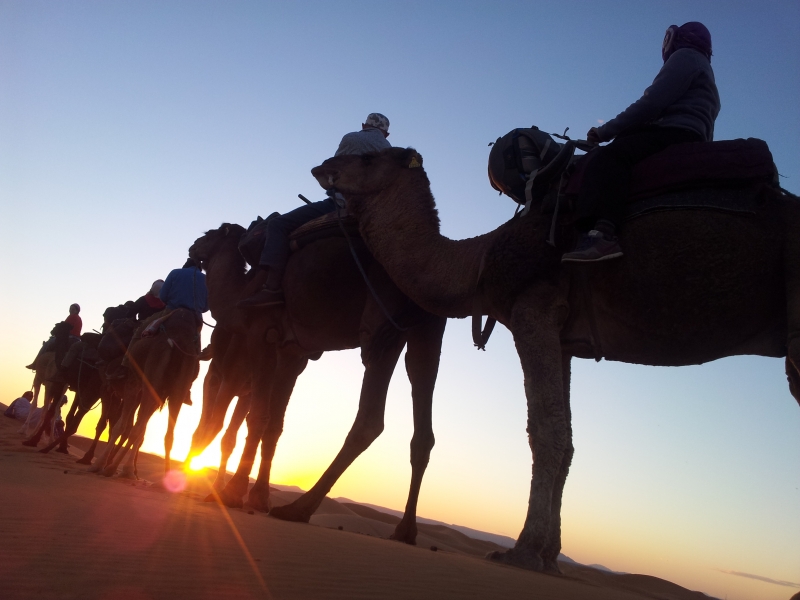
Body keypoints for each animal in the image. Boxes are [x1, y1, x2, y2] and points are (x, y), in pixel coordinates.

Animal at [191, 221, 446, 544]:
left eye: (209, 235)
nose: (192, 247)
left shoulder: (260, 336)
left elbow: (249, 420)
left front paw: (231, 493)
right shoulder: (291, 354)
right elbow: (271, 426)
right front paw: (257, 498)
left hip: (382, 320)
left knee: (370, 420)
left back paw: (298, 509)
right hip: (426, 329)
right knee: (422, 418)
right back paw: (405, 531)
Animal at [310, 144, 800, 572]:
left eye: (367, 157)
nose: (321, 168)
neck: (479, 260)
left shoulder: (534, 309)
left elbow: (546, 432)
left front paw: (523, 552)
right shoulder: (563, 340)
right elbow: (567, 440)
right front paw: (549, 557)